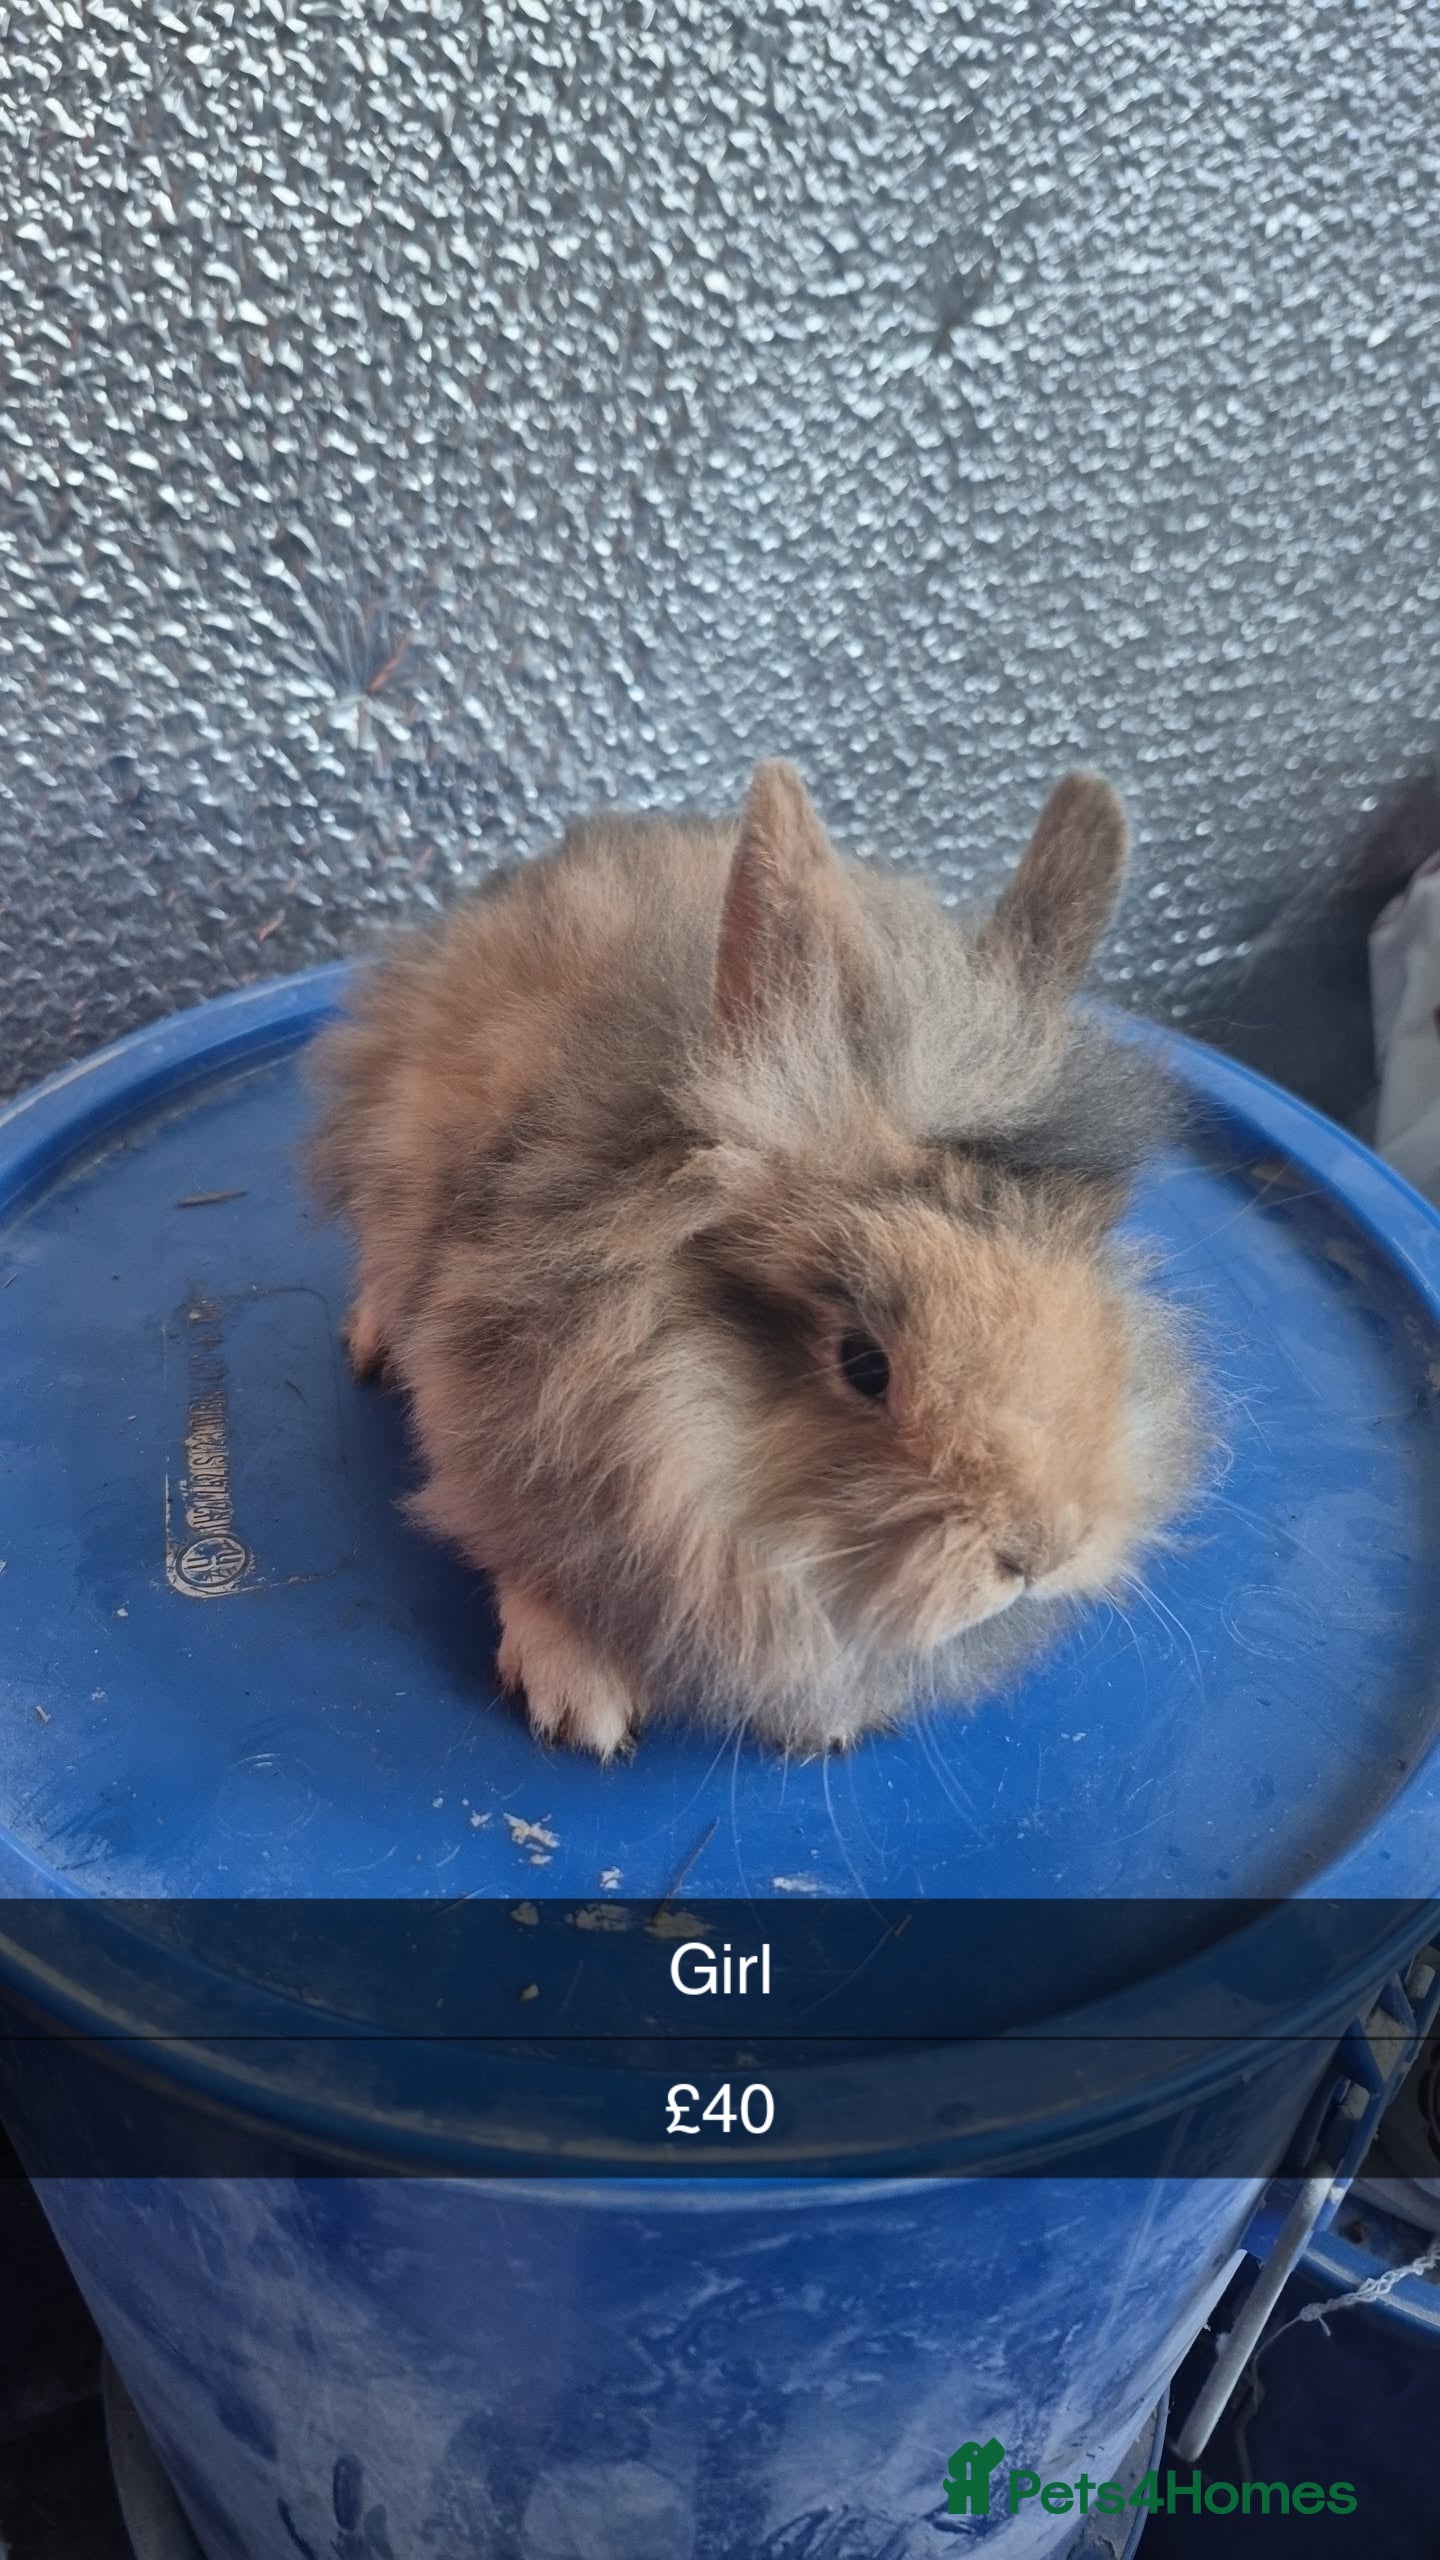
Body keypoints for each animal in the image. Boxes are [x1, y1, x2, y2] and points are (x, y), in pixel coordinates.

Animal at [307, 760, 1201, 1759]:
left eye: (1097, 1312)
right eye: (863, 1363)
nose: (1040, 1554)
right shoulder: (486, 1418)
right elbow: (520, 1545)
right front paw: (579, 1696)